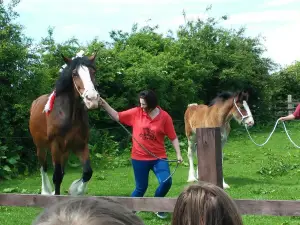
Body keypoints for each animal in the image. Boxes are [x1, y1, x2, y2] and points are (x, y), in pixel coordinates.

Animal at [28, 52, 99, 195]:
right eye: (75, 74)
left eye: (93, 71)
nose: (92, 99)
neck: (69, 116)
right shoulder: (55, 145)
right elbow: (56, 177)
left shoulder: (81, 145)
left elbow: (87, 172)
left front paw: (75, 190)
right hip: (41, 147)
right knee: (43, 168)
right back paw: (46, 191)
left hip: (64, 152)